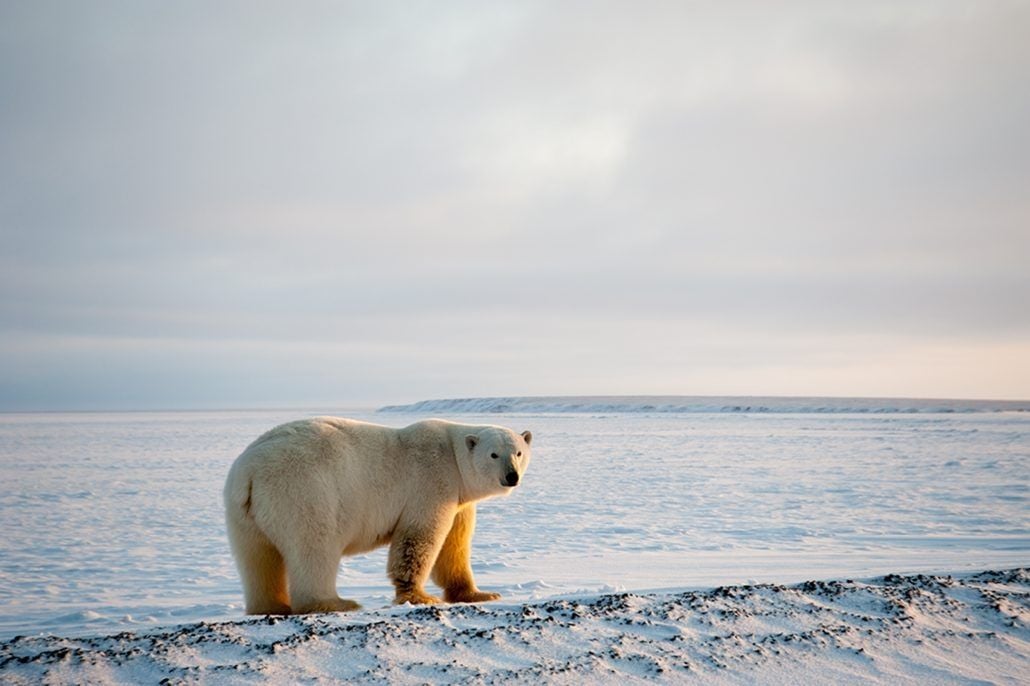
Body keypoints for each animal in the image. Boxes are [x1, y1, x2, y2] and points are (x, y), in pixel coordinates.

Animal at [223, 420, 531, 609]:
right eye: (493, 454)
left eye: (518, 452)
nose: (511, 476)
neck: (452, 456)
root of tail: (248, 472)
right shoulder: (431, 482)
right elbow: (419, 539)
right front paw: (421, 597)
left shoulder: (458, 501)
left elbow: (454, 546)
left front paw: (480, 593)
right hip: (303, 490)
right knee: (314, 545)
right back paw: (335, 603)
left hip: (243, 513)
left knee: (257, 558)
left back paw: (271, 606)